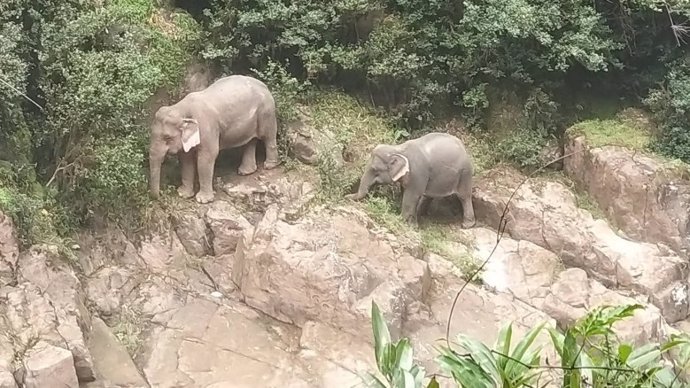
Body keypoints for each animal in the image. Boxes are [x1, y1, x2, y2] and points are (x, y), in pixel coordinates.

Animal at [148, 74, 280, 205]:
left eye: (167, 137)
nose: (160, 195)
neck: (181, 108)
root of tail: (264, 85)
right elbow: (186, 159)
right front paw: (183, 194)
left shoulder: (207, 128)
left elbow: (206, 157)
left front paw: (202, 200)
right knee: (250, 141)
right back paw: (245, 171)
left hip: (266, 111)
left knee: (268, 136)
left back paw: (269, 165)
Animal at [344, 133, 472, 229]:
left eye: (375, 169)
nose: (345, 196)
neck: (398, 149)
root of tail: (464, 148)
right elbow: (405, 193)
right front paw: (413, 225)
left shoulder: (417, 173)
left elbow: (411, 196)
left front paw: (401, 221)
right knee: (428, 195)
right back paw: (421, 214)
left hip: (465, 173)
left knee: (464, 196)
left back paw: (466, 225)